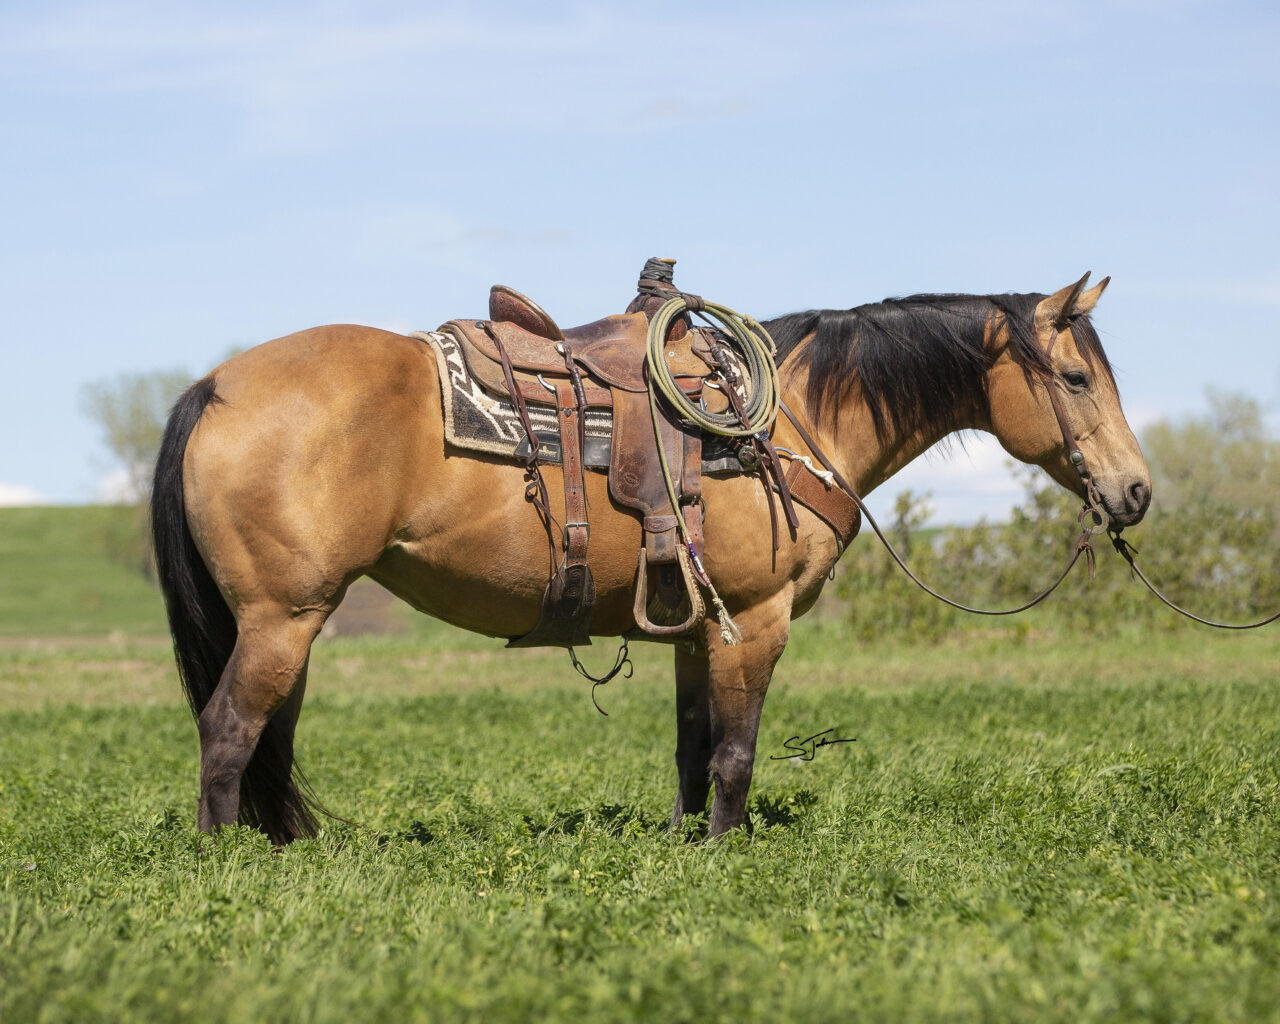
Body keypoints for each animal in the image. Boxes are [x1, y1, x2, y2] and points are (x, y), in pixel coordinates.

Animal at [151, 273, 1151, 845]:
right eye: (1075, 379)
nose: (1136, 491)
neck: (788, 419)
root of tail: (215, 386)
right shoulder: (756, 619)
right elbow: (738, 753)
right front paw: (722, 853)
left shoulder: (693, 629)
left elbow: (691, 749)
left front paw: (681, 847)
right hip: (284, 617)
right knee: (229, 731)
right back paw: (220, 863)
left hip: (290, 622)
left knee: (267, 734)